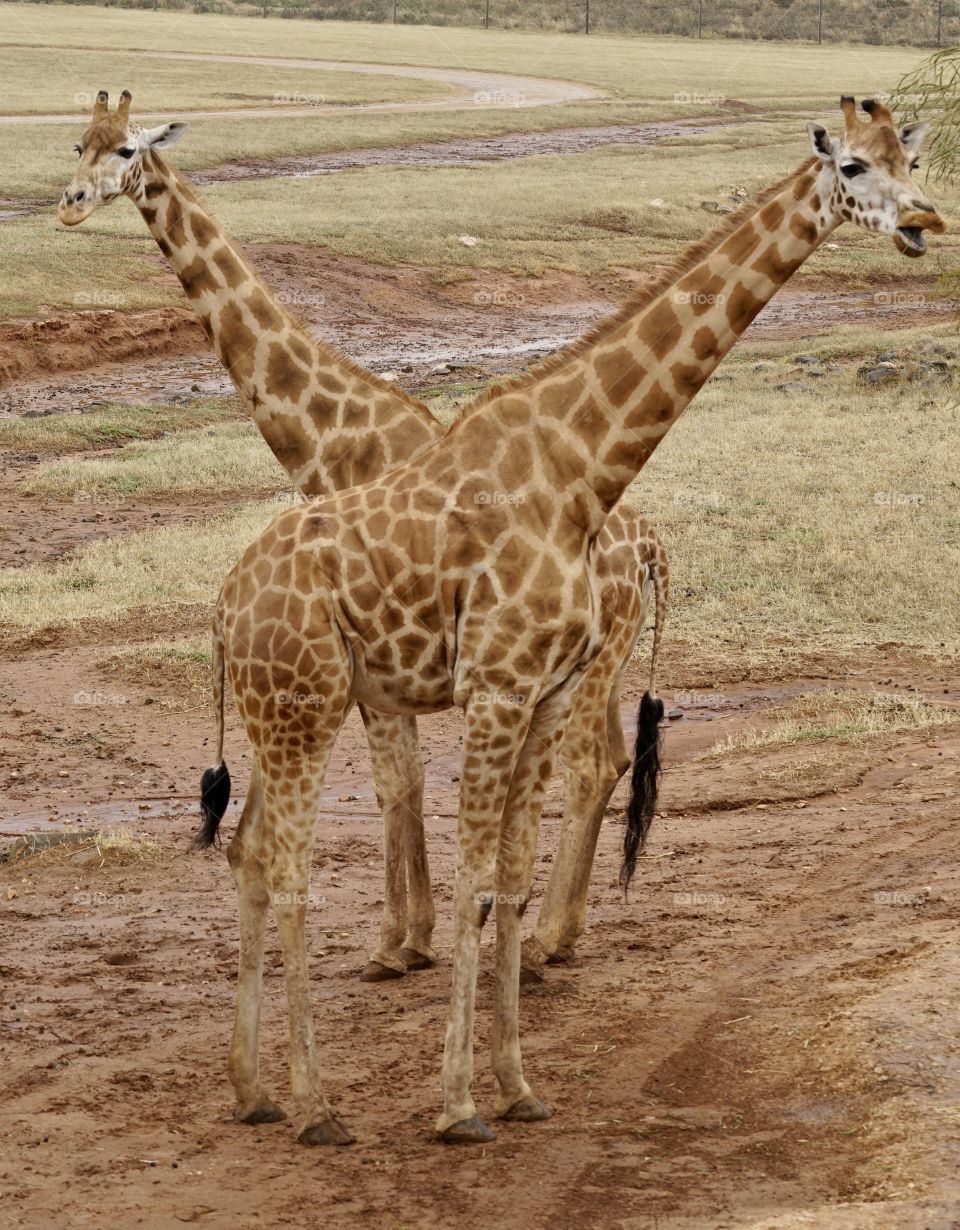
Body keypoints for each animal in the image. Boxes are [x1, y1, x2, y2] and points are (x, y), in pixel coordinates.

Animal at [56, 89, 668, 983]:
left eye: (127, 148)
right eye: (78, 142)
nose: (69, 204)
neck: (335, 438)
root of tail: (653, 547)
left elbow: (396, 783)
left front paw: (395, 943)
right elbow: (403, 782)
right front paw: (414, 936)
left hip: (587, 661)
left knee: (592, 764)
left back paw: (547, 938)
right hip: (605, 661)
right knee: (617, 756)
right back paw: (566, 929)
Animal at [194, 99, 943, 1144]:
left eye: (914, 158)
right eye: (858, 168)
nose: (925, 222)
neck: (584, 472)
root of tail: (224, 605)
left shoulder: (543, 692)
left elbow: (509, 878)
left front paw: (516, 1087)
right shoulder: (497, 687)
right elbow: (473, 880)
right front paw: (457, 1105)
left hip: (291, 710)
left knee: (249, 853)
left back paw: (252, 1089)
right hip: (305, 709)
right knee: (290, 866)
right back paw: (315, 1108)